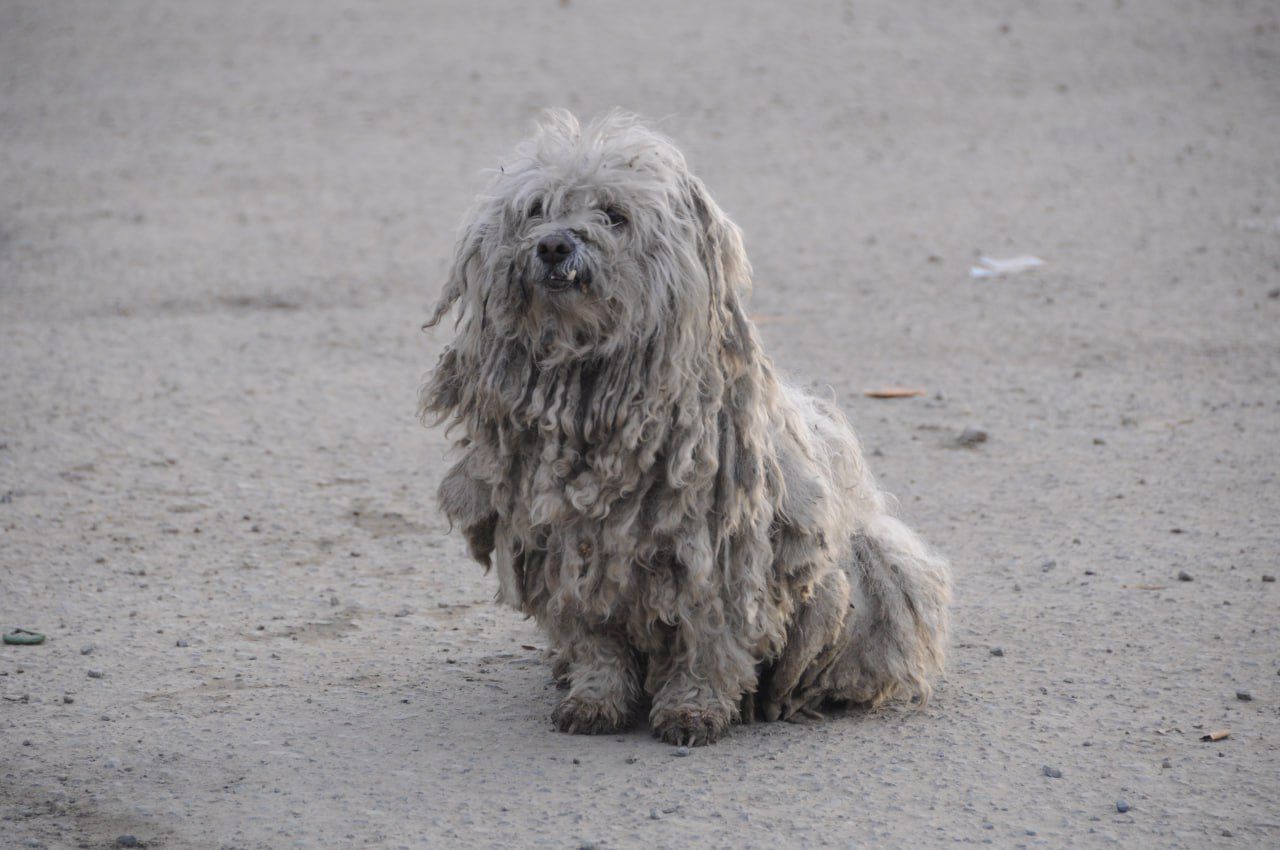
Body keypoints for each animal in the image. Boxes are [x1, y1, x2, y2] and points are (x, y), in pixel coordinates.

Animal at [419, 111, 952, 742]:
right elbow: (594, 640)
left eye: (613, 215)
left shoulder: (719, 558)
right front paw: (594, 699)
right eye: (536, 209)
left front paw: (693, 708)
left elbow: (710, 642)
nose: (554, 245)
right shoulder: (565, 549)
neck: (594, 397)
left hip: (868, 569)